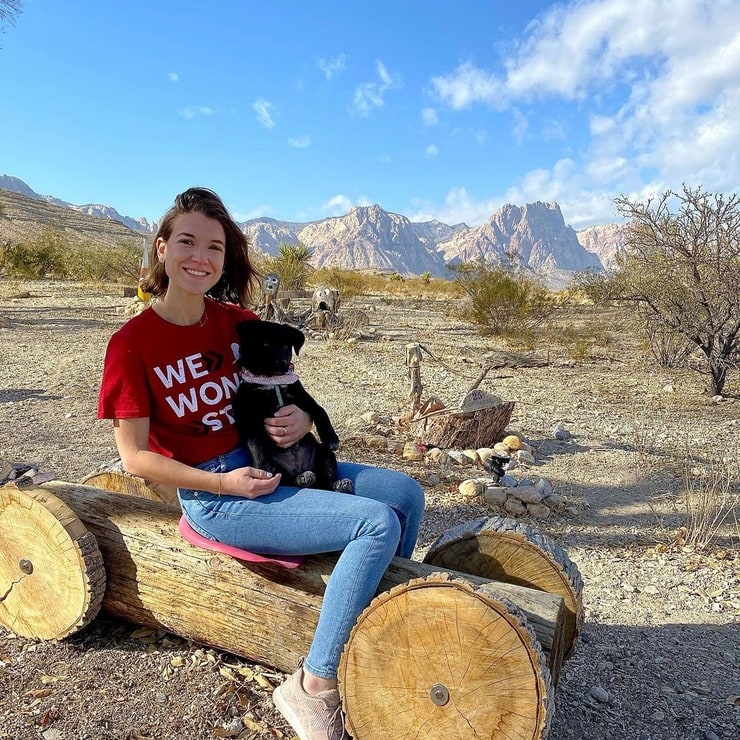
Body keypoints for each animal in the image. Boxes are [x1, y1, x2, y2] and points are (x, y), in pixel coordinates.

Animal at [233, 320, 354, 494]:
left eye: (286, 346)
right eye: (265, 344)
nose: (283, 364)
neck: (272, 382)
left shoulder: (303, 398)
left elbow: (320, 410)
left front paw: (330, 437)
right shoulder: (248, 418)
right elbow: (255, 443)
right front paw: (262, 468)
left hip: (324, 453)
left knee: (326, 479)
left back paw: (338, 484)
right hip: (285, 472)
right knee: (290, 481)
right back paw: (303, 478)